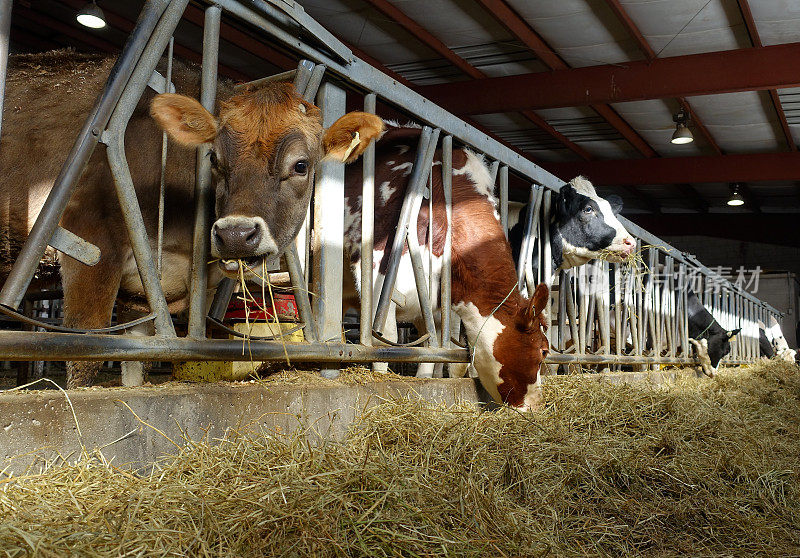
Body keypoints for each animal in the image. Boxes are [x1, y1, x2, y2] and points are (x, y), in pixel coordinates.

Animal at [0, 50, 382, 388]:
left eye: (301, 165)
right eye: (213, 158)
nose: (235, 234)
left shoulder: (143, 291)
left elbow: (134, 367)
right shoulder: (92, 242)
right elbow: (84, 363)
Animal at [344, 123, 552, 412]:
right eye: (543, 352)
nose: (537, 405)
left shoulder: (438, 302)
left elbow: (437, 351)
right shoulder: (376, 273)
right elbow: (382, 339)